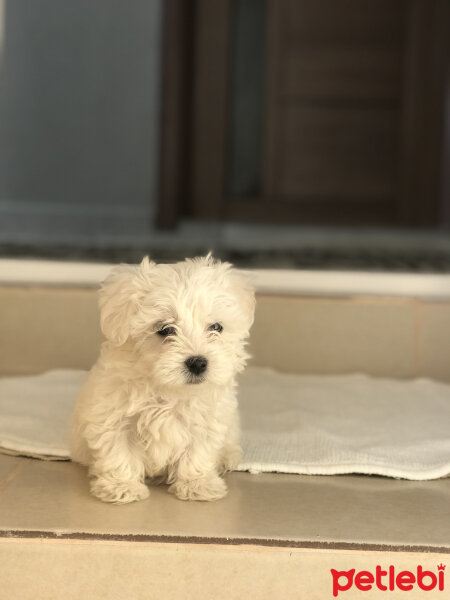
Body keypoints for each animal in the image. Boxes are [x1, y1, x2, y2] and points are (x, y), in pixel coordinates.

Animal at [70, 255, 253, 504]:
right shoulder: (112, 418)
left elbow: (198, 453)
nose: (198, 362)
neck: (168, 391)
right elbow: (118, 452)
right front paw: (122, 486)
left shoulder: (208, 421)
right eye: (165, 329)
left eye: (216, 327)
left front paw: (197, 484)